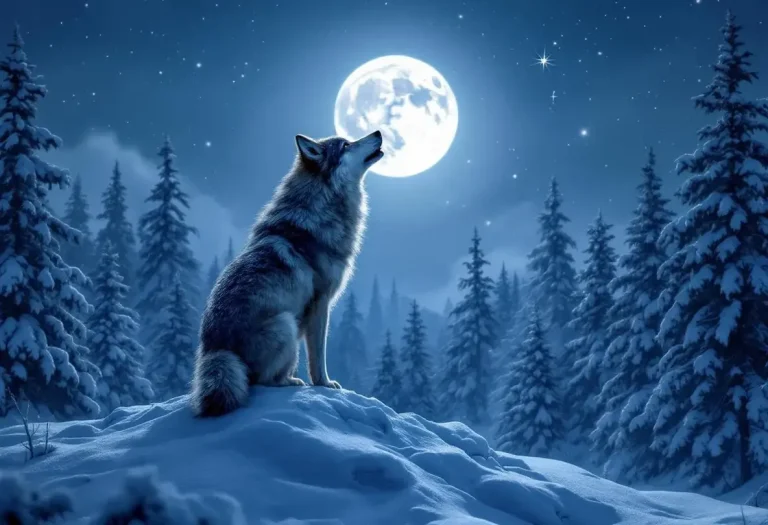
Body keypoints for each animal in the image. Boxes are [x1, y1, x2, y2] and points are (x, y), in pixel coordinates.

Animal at [190, 130, 383, 417]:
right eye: (346, 144)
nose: (378, 132)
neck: (322, 204)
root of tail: (216, 349)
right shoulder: (320, 303)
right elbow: (318, 356)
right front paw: (325, 384)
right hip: (285, 324)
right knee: (262, 381)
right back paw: (291, 381)